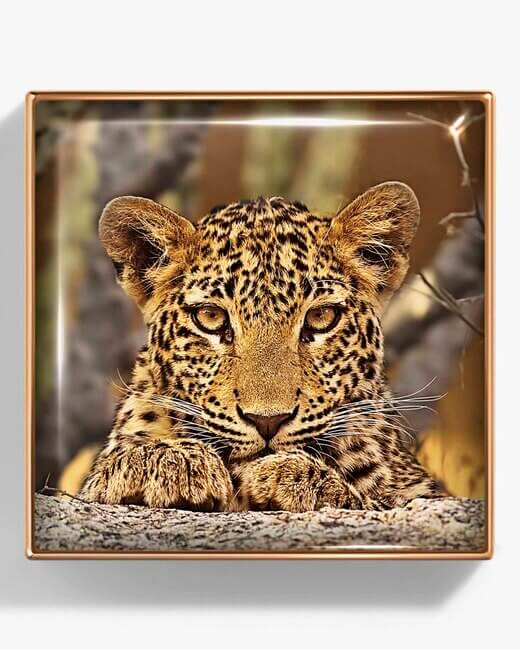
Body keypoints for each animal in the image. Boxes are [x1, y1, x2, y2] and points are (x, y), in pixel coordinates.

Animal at [80, 181, 443, 512]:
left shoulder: (421, 492)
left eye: (321, 317)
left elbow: (377, 500)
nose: (268, 421)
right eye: (210, 317)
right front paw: (165, 460)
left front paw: (293, 477)